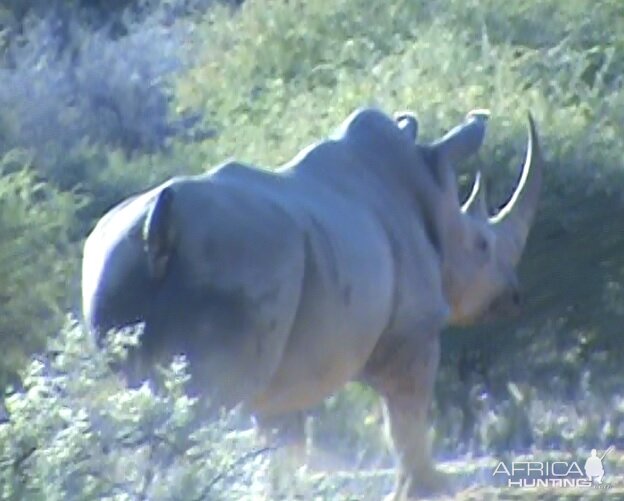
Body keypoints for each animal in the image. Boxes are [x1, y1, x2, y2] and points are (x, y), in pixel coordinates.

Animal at [81, 107, 540, 498]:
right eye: (483, 246)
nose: (515, 297)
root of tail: (158, 225)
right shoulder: (413, 330)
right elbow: (406, 415)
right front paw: (429, 488)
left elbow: (280, 437)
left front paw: (282, 490)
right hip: (237, 256)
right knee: (206, 404)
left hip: (112, 260)